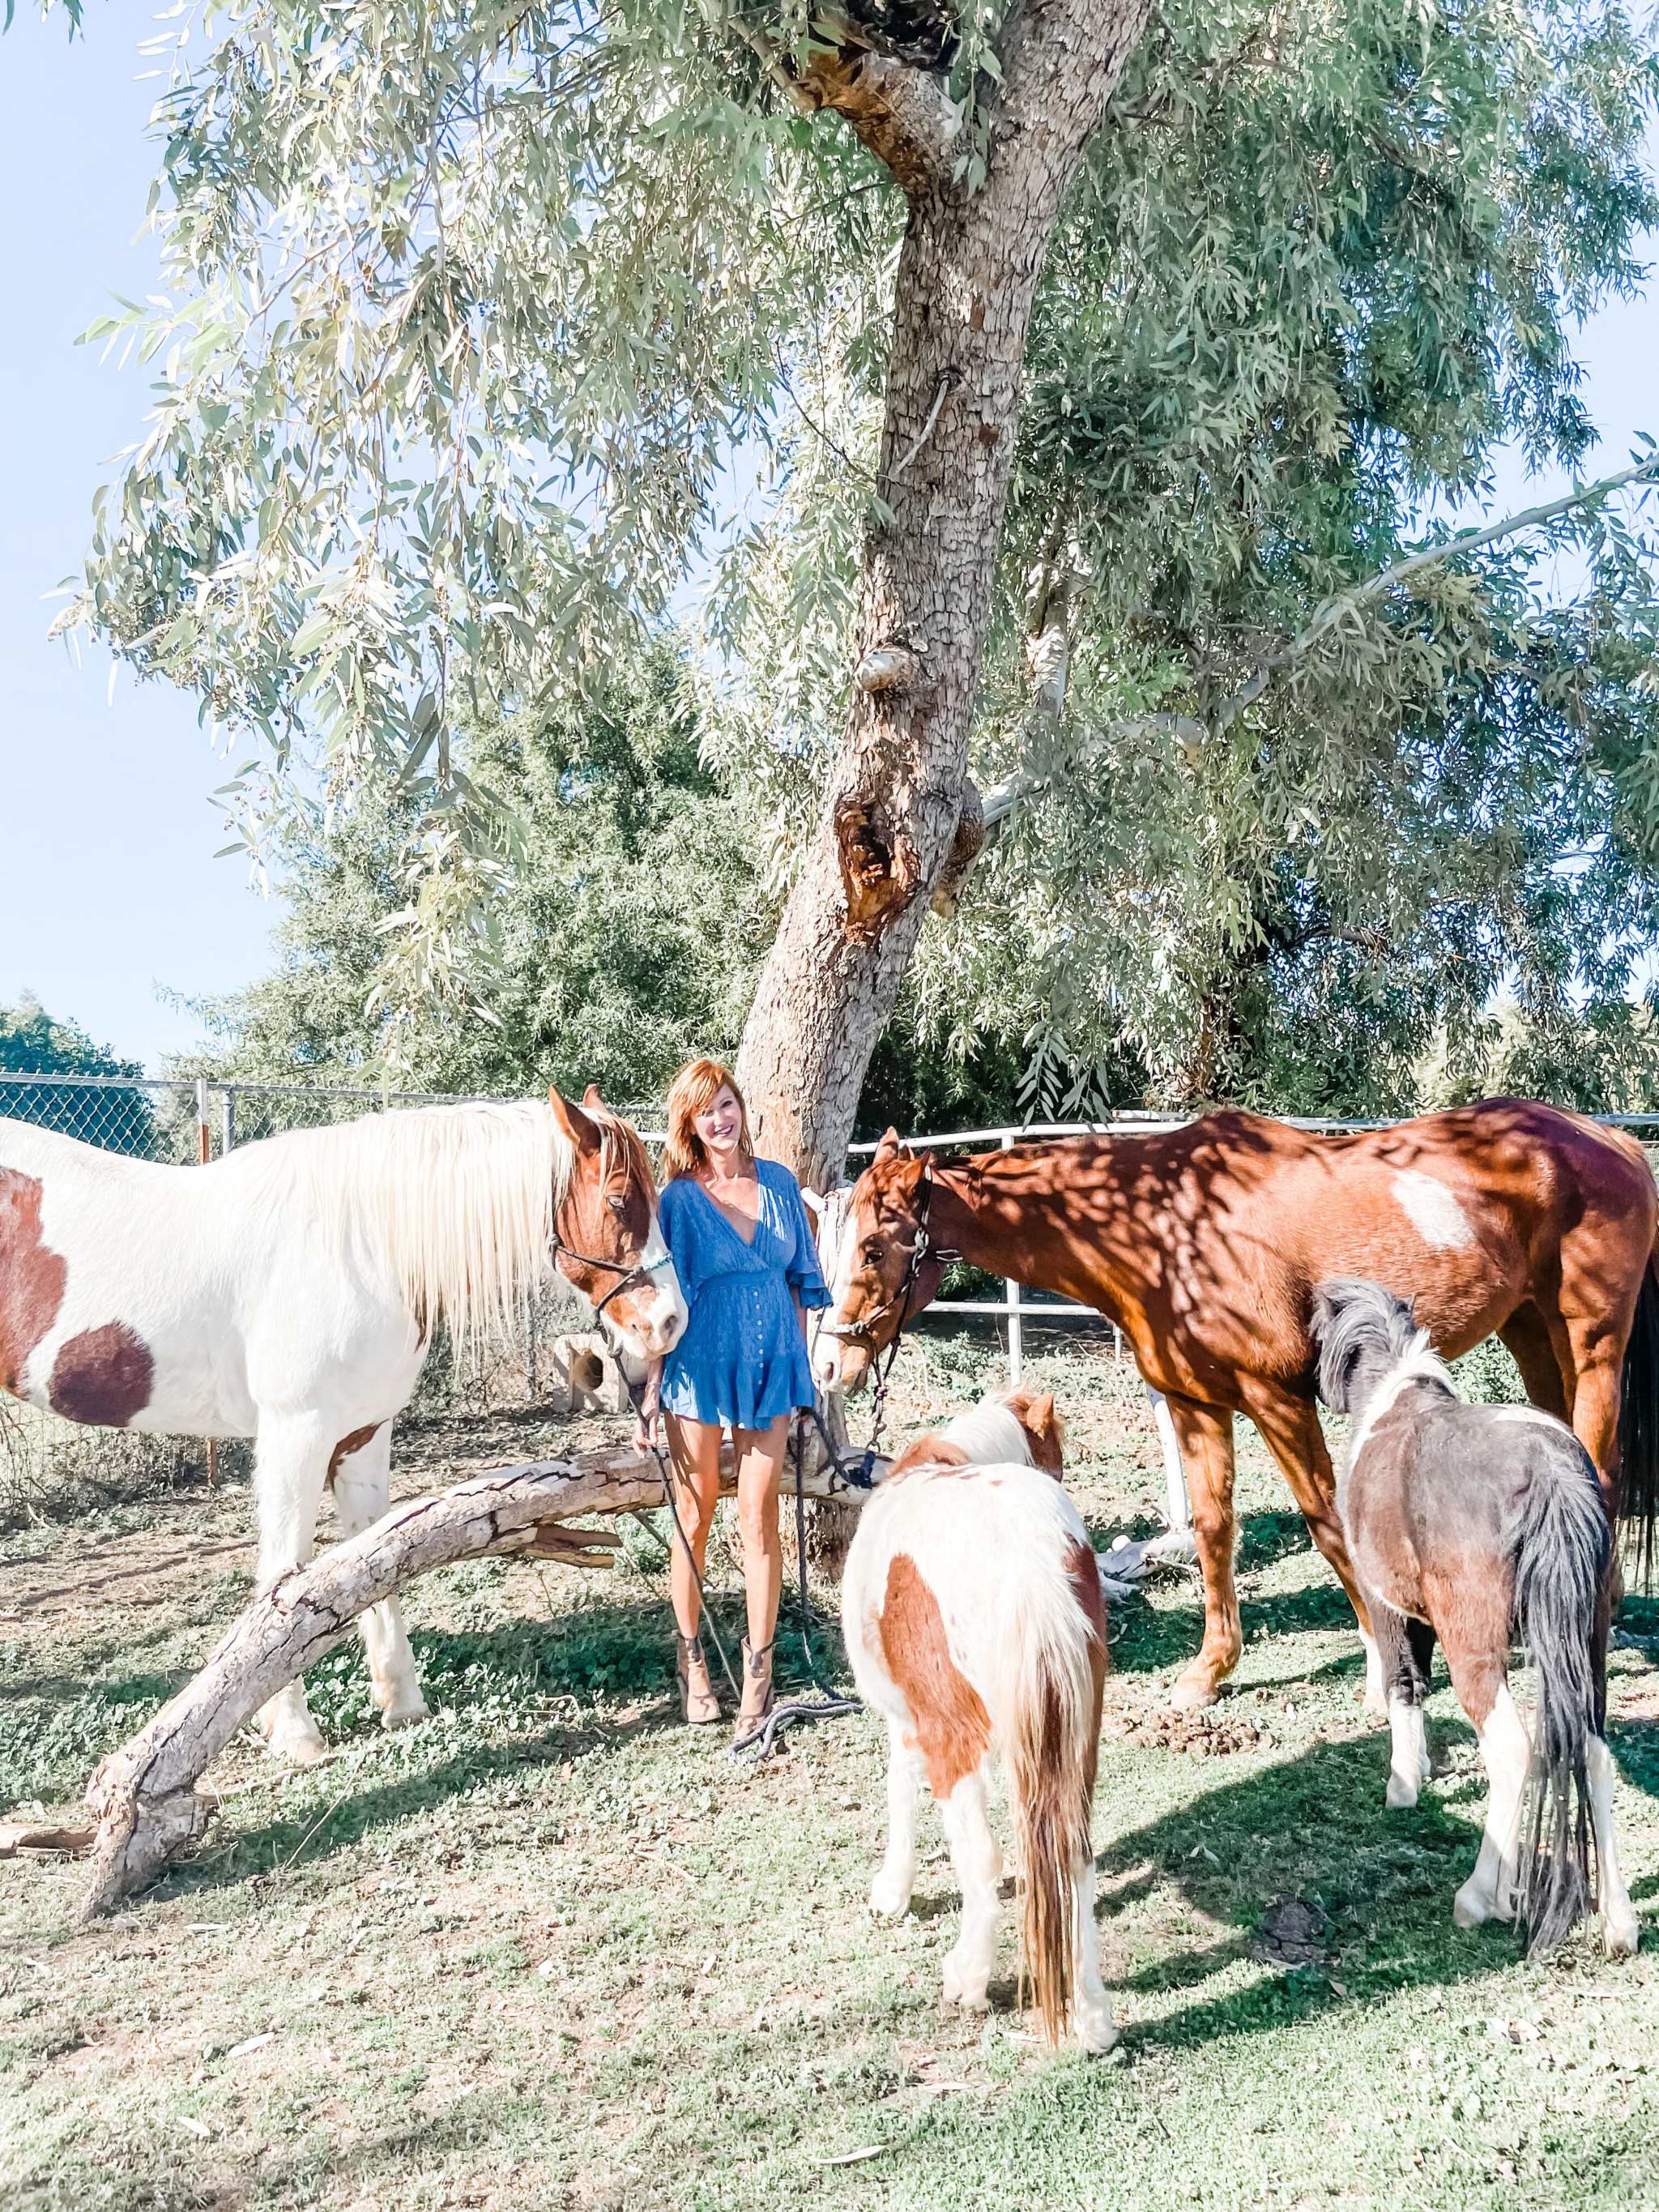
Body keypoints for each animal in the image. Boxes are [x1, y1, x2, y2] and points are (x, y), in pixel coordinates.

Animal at [0, 1086, 685, 1763]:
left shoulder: (362, 1435)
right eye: (620, 1198)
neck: (361, 1251)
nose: (668, 1322)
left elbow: (377, 1557)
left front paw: (402, 1703)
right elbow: (284, 1575)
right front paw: (294, 1732)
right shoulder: (294, 1435)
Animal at [818, 1101, 1659, 1712]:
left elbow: (1328, 1523)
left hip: (1591, 1341)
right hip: (1533, 1334)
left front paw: (1382, 1671)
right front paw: (1209, 1671)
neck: (1161, 1228)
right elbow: (1214, 1528)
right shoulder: (1198, 1404)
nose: (829, 1363)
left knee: (1602, 1468)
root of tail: (1612, 1140)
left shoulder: (1277, 1399)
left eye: (873, 1247)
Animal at [843, 1387, 1117, 2052]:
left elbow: (899, 1793)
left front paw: (891, 1892)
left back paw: (967, 1979)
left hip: (956, 1744)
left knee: (982, 1859)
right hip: (1079, 1740)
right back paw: (1094, 2017)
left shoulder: (907, 1720)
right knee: (1076, 1857)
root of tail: (1029, 1563)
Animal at [1314, 1277, 1638, 1957]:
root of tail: (1551, 1471)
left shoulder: (1390, 1608)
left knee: (1513, 1751)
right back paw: (1619, 1922)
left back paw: (1477, 1898)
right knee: (1591, 1754)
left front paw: (1404, 1784)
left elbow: (1404, 1685)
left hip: (1476, 1650)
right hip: (1584, 1647)